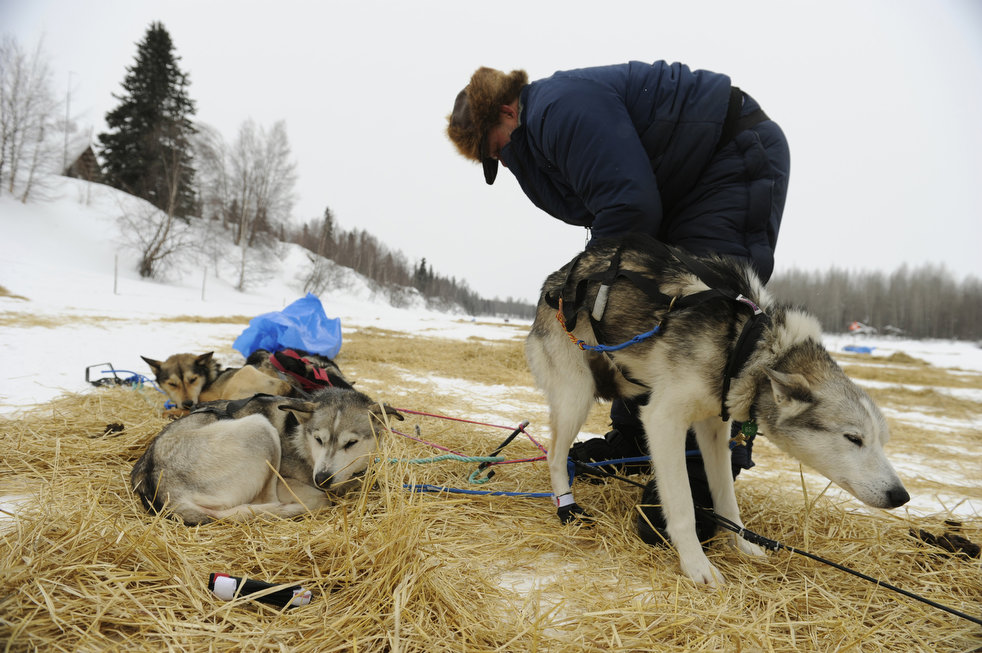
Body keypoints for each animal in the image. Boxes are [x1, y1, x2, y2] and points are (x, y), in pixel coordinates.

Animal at [131, 388, 404, 524]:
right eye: (318, 439)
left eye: (351, 443)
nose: (322, 479)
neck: (300, 439)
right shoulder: (290, 481)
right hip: (260, 428)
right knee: (269, 501)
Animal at [528, 237, 912, 588]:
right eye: (853, 438)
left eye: (882, 440)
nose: (902, 496)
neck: (748, 345)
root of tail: (558, 278)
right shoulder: (664, 420)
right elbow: (682, 504)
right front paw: (696, 564)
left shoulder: (714, 428)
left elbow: (726, 497)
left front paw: (741, 544)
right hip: (576, 396)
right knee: (556, 457)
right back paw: (566, 506)